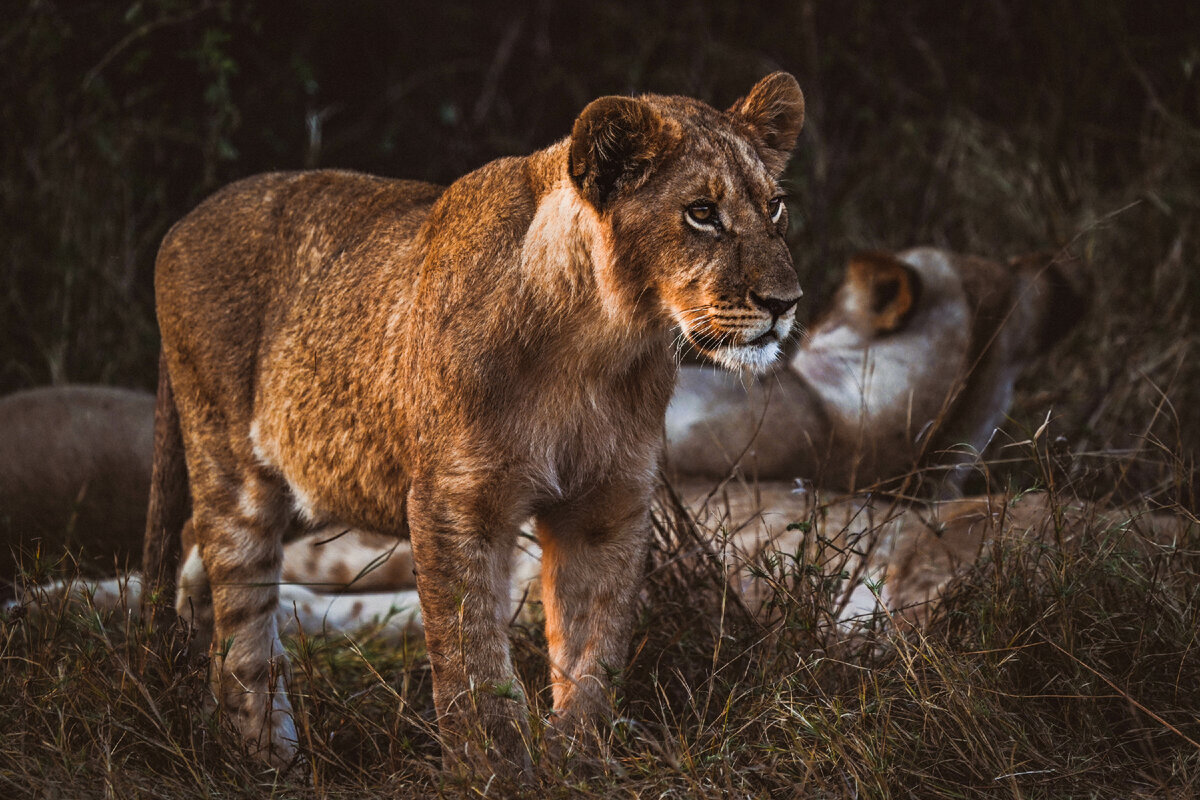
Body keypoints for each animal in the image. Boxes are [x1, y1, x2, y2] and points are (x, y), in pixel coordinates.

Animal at [145, 73, 811, 767]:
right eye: (701, 213)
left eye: (774, 208)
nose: (785, 303)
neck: (594, 346)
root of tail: (183, 223)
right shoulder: (454, 502)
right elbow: (472, 656)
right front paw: (496, 767)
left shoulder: (607, 504)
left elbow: (594, 647)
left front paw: (579, 755)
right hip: (233, 462)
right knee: (239, 592)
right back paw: (263, 751)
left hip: (319, 475)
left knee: (195, 542)